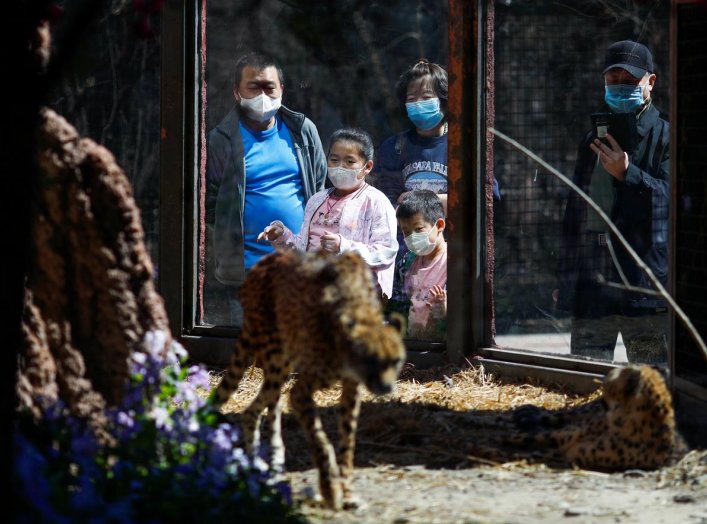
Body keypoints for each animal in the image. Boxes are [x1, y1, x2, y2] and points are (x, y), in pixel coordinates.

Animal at [213, 249, 406, 508]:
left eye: (395, 361)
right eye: (369, 359)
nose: (385, 387)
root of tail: (263, 262)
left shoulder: (352, 389)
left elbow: (347, 443)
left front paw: (347, 492)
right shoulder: (301, 392)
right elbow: (321, 441)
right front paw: (329, 489)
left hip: (282, 362)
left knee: (259, 408)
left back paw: (269, 463)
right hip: (277, 359)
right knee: (254, 408)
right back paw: (259, 468)